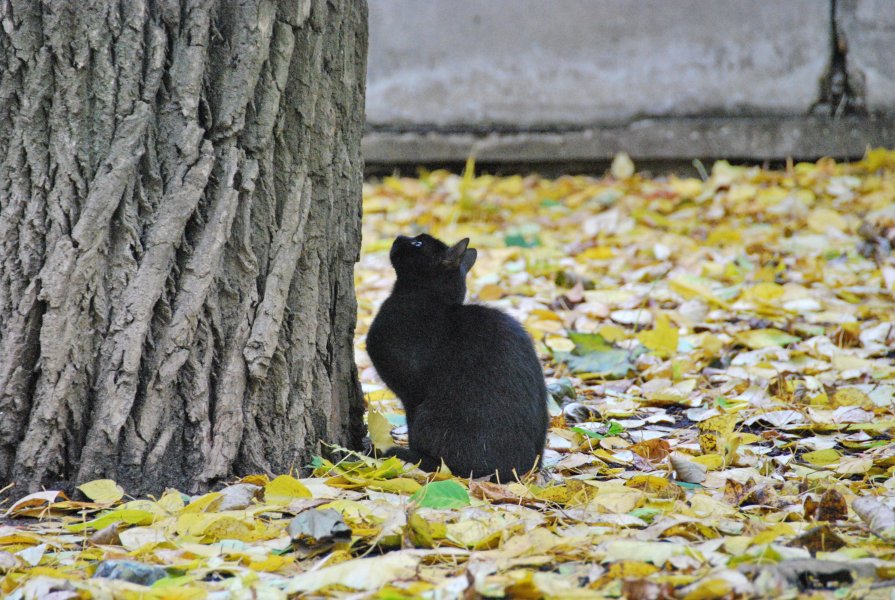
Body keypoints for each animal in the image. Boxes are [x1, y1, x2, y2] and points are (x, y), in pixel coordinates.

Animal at [362, 232, 544, 480]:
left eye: (418, 243)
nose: (399, 237)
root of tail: (526, 470)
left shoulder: (411, 393)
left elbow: (412, 427)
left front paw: (407, 451)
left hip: (431, 416)